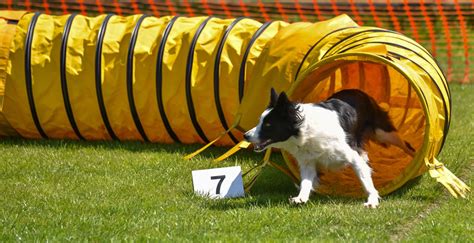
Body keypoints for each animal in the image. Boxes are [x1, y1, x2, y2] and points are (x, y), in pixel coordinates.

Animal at [244, 88, 414, 208]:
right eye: (260, 121)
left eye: (268, 125)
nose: (245, 136)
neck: (305, 131)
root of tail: (358, 91)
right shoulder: (308, 162)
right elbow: (306, 182)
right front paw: (300, 198)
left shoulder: (352, 154)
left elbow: (365, 179)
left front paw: (372, 200)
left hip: (383, 132)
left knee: (405, 144)